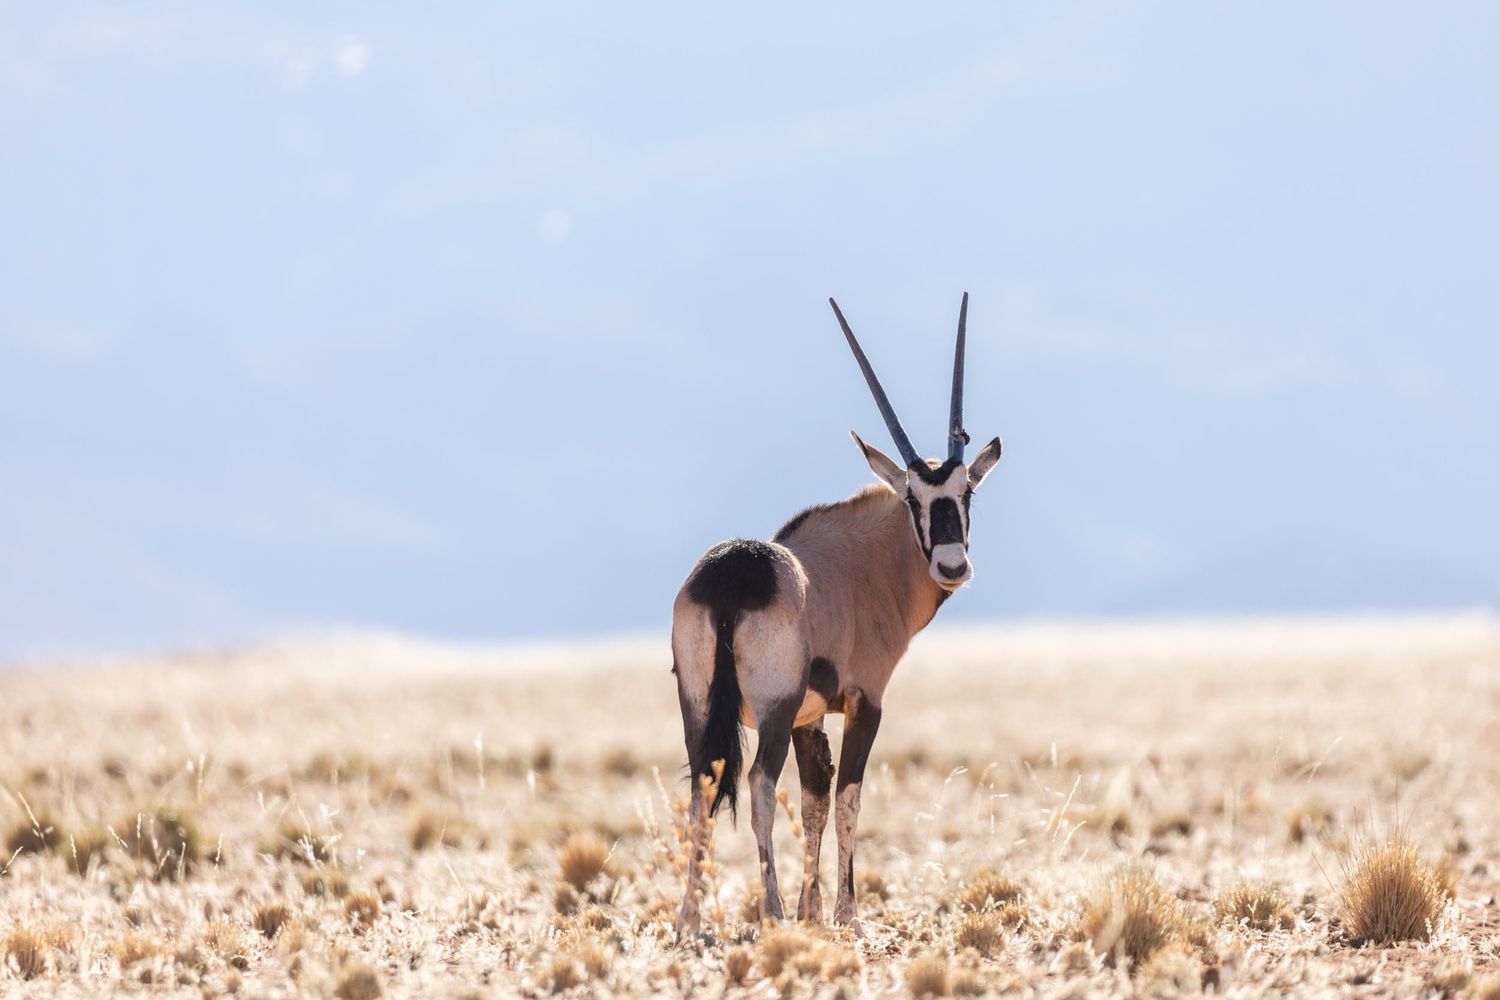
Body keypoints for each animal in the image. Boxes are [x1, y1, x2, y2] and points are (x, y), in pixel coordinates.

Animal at [672, 294, 1003, 939]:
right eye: (914, 499)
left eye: (966, 494)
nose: (952, 565)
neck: (862, 565)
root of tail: (730, 577)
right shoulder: (862, 701)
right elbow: (847, 797)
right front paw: (845, 915)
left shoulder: (809, 717)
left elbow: (814, 801)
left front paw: (813, 912)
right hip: (771, 711)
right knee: (758, 785)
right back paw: (770, 912)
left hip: (698, 706)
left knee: (703, 787)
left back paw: (689, 920)